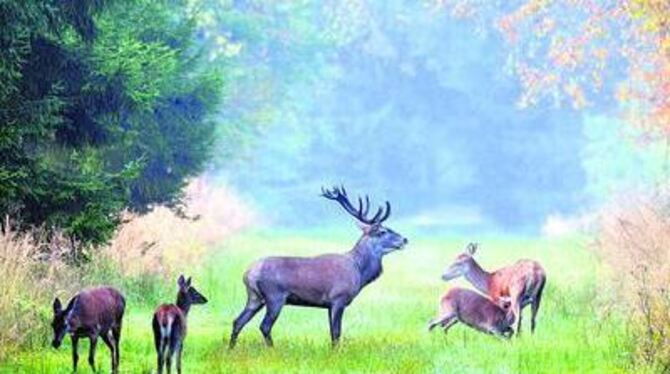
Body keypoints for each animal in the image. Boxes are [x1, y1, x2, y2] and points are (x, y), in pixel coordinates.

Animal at [231, 186, 410, 348]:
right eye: (382, 231)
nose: (405, 239)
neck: (359, 271)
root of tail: (248, 274)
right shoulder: (338, 298)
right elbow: (337, 333)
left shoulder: (328, 305)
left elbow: (331, 333)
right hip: (275, 296)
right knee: (264, 326)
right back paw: (272, 350)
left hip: (255, 297)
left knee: (237, 321)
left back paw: (230, 349)